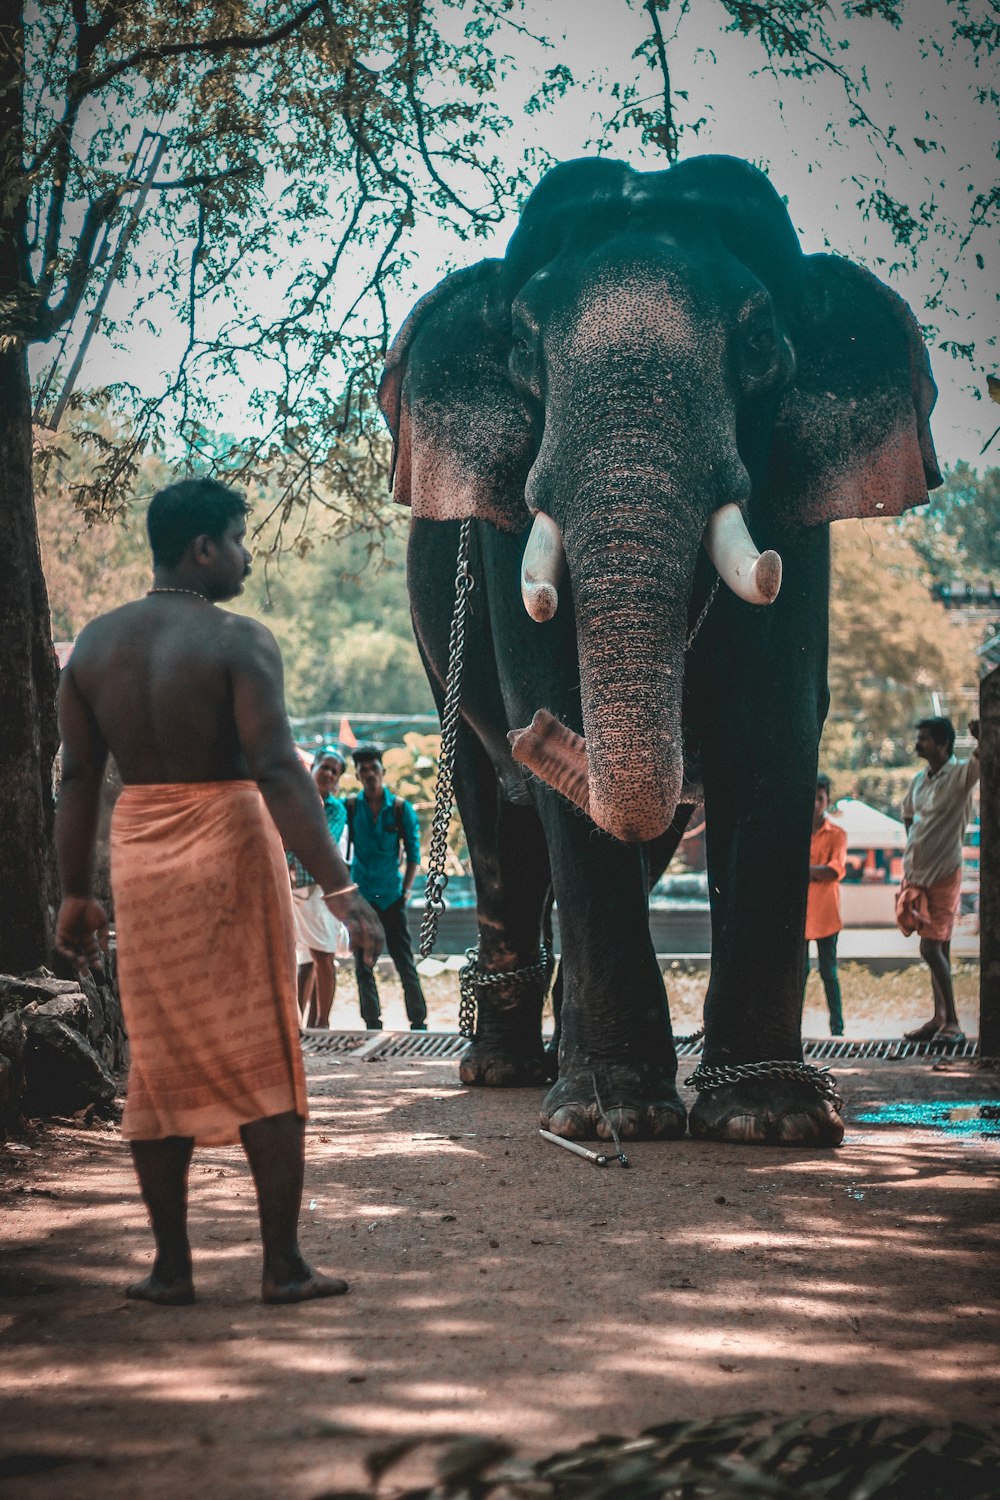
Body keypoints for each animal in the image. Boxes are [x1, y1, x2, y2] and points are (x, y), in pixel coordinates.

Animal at [379, 152, 941, 1140]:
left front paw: (769, 1120)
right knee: (498, 817)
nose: (542, 739)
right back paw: (506, 1070)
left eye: (759, 342)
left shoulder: (797, 515)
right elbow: (552, 713)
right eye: (523, 349)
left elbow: (770, 731)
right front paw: (608, 1116)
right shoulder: (503, 528)